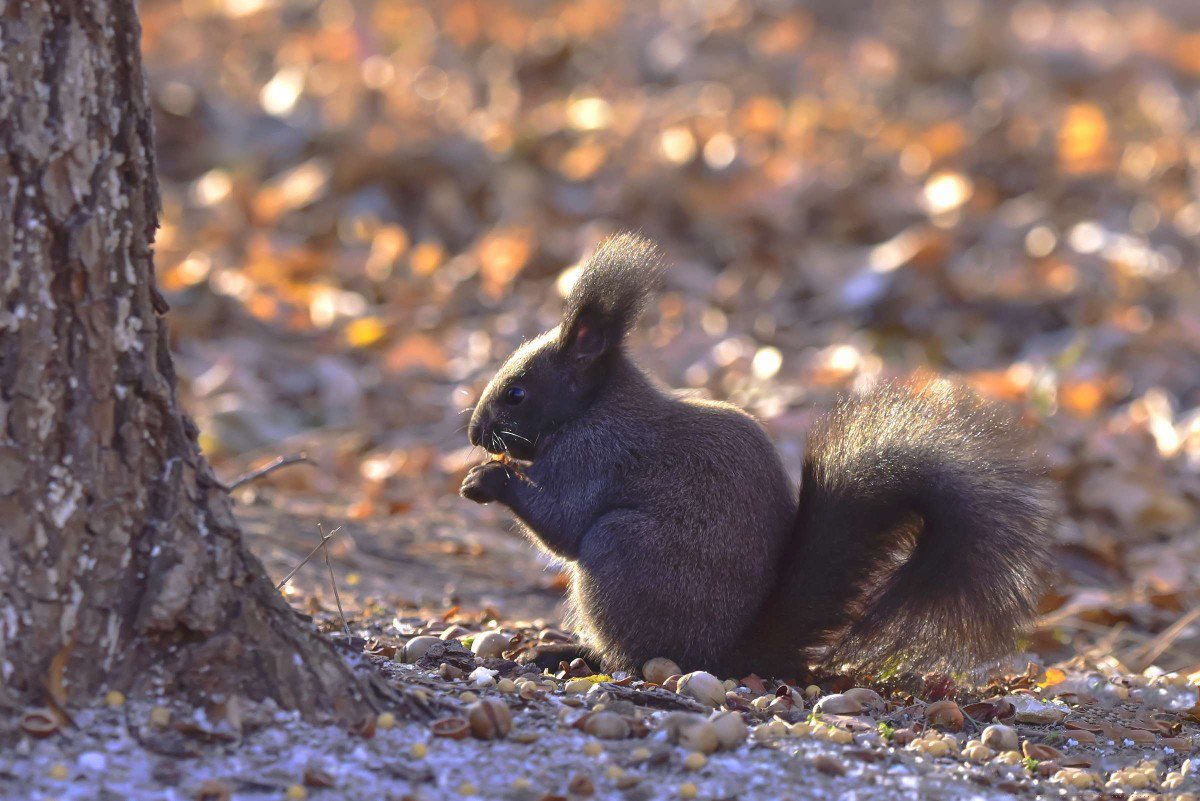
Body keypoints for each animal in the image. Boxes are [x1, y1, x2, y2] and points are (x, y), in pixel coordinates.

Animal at [458, 235, 1051, 681]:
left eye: (516, 393)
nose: (475, 432)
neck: (595, 405)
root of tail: (733, 653)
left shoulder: (596, 456)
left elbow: (562, 522)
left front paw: (488, 480)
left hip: (620, 553)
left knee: (640, 655)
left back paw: (570, 653)